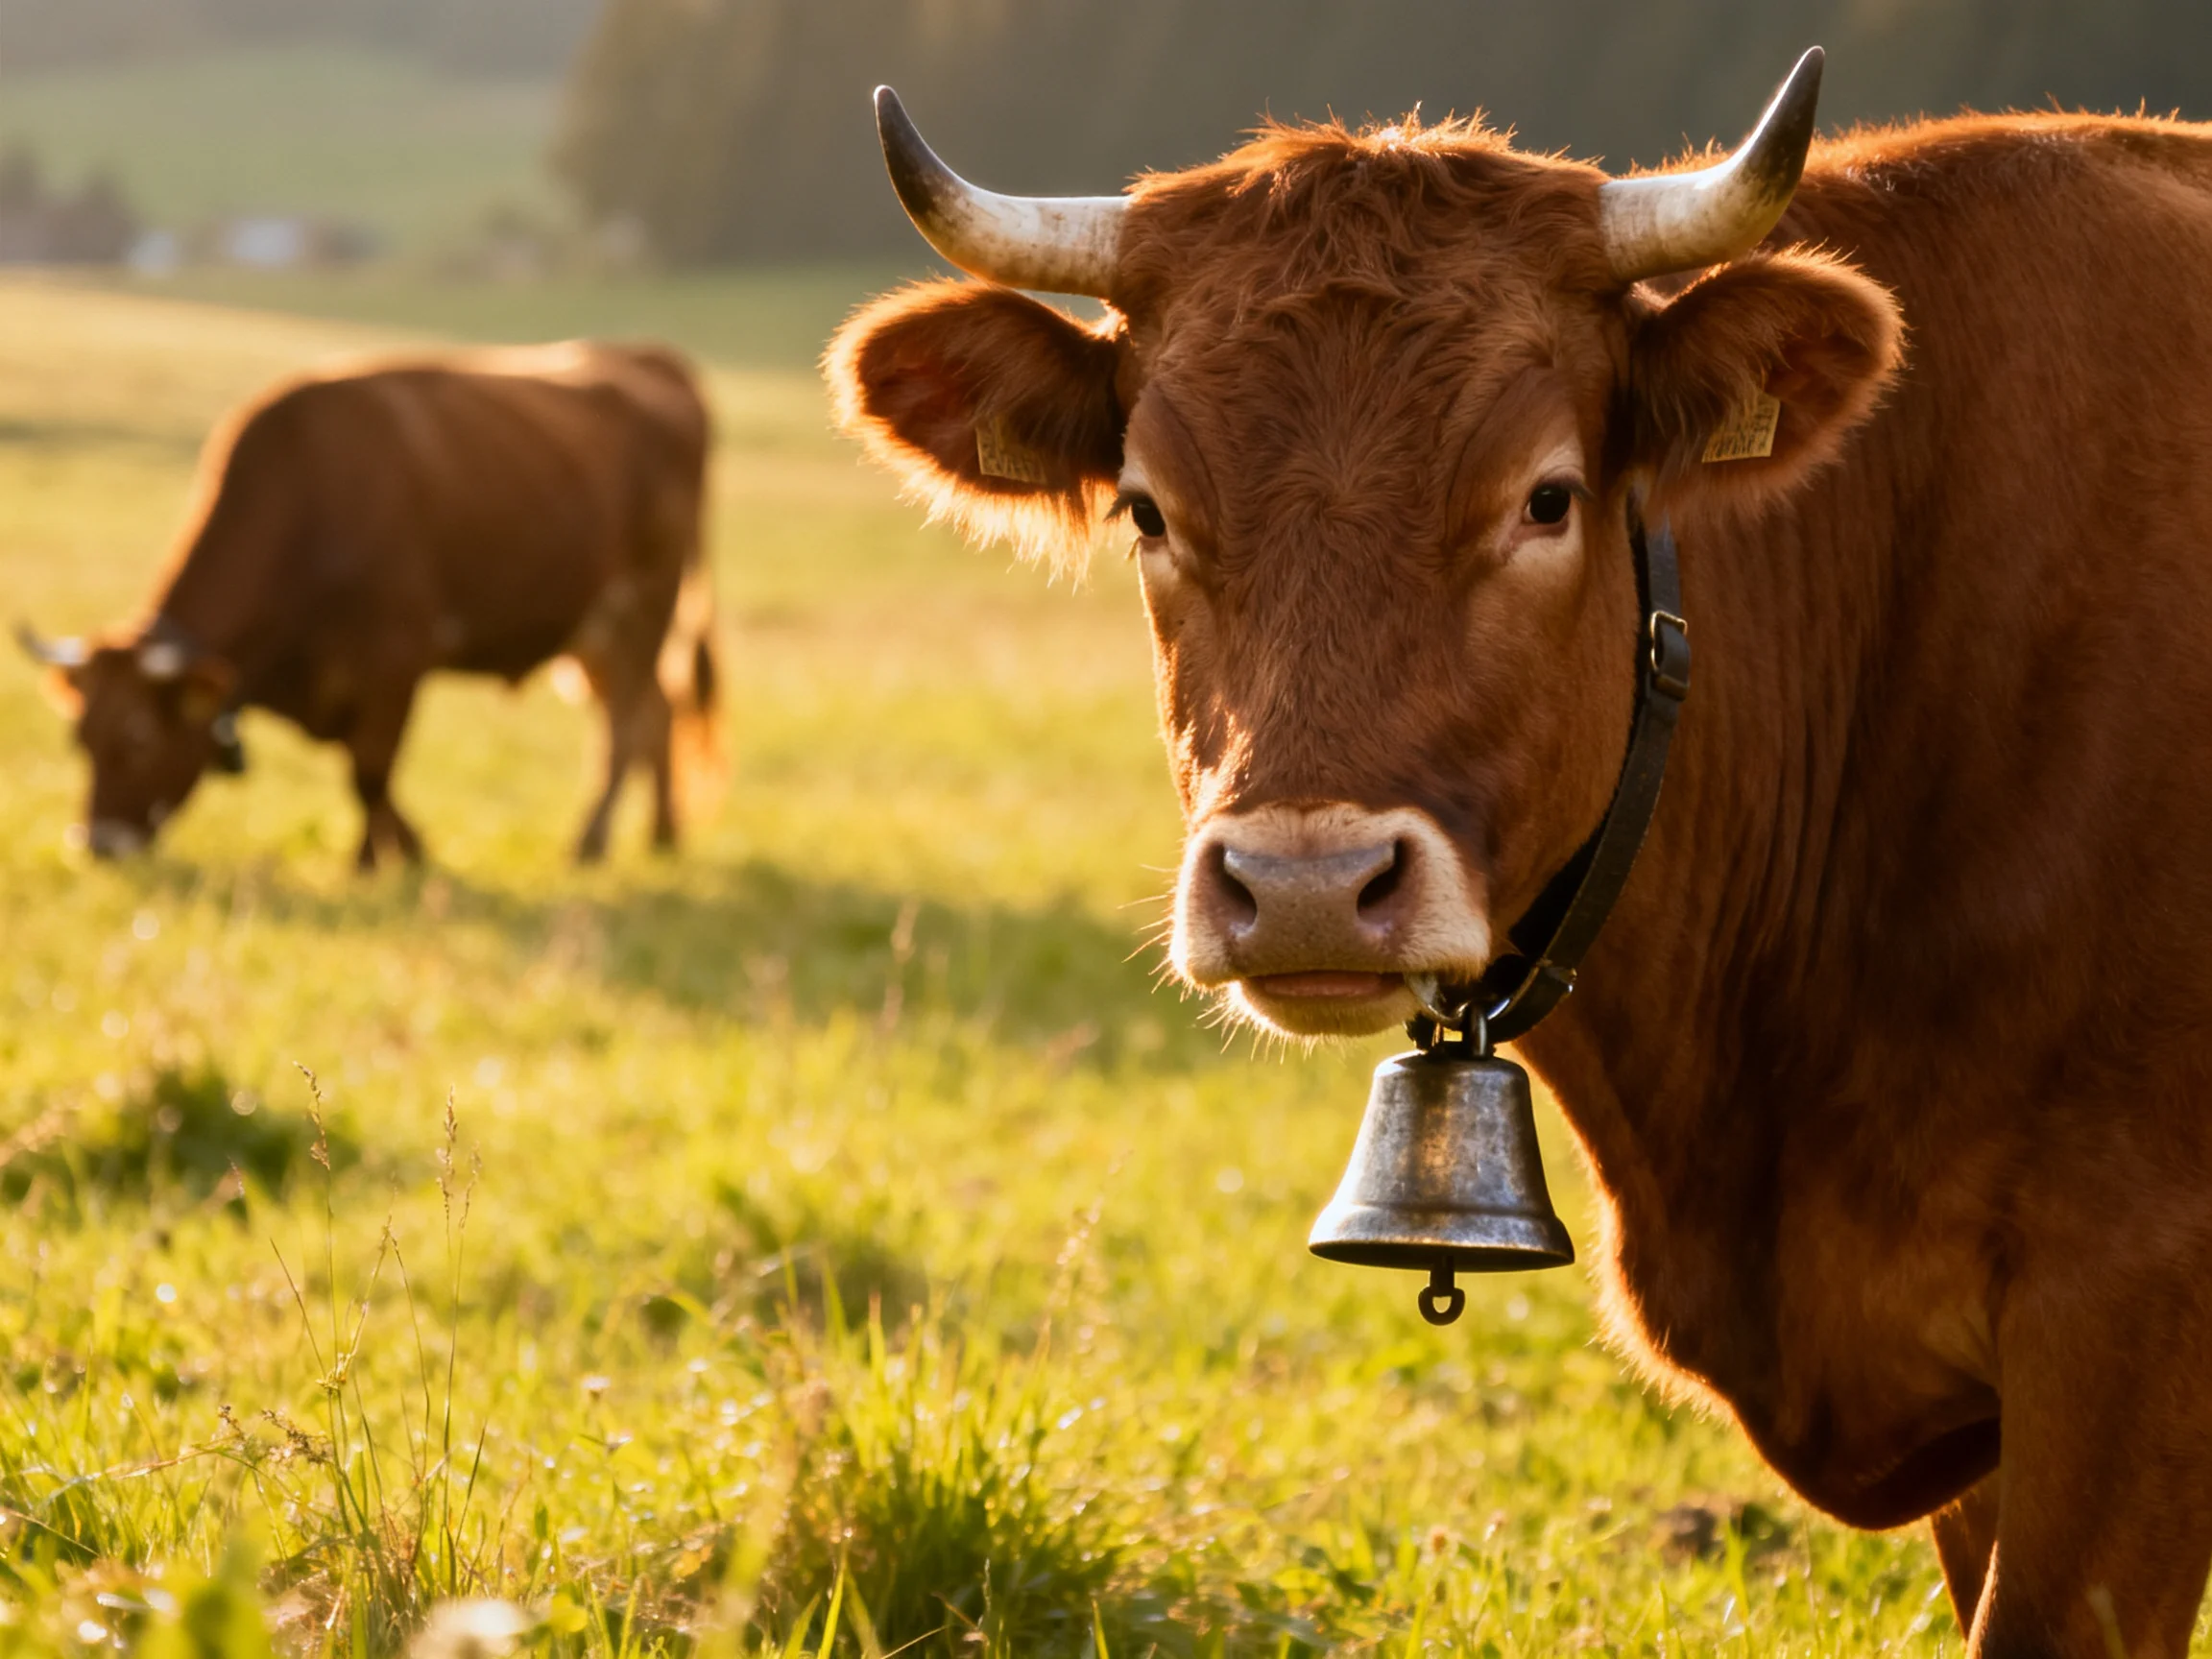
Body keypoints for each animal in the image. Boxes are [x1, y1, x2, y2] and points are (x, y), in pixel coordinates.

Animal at [19, 341, 718, 868]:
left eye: (137, 739)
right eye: (79, 739)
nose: (98, 844)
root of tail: (650, 357)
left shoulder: (396, 662)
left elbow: (369, 772)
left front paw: (392, 858)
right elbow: (358, 771)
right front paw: (391, 853)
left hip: (646, 603)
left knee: (625, 726)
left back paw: (591, 844)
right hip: (595, 633)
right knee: (657, 712)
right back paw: (664, 835)